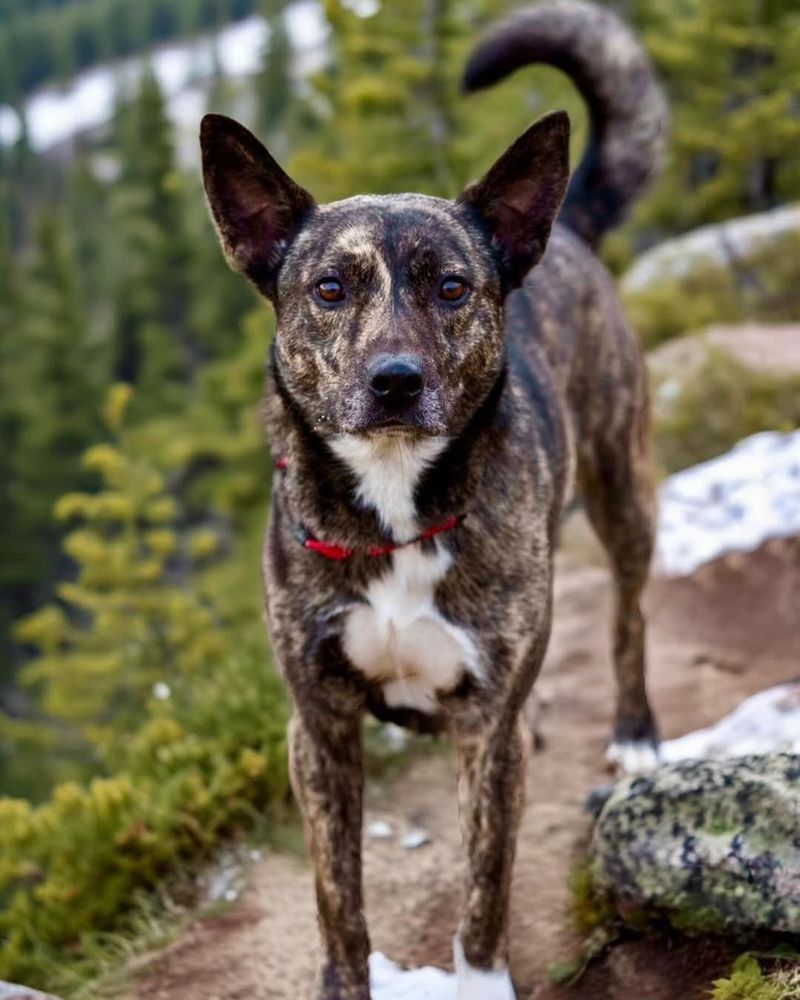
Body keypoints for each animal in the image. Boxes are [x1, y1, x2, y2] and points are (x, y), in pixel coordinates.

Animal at [200, 3, 668, 996]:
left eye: (452, 287)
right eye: (329, 289)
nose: (396, 381)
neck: (394, 513)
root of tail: (567, 230)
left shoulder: (486, 743)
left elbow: (485, 883)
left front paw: (480, 980)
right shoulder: (319, 730)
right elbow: (338, 898)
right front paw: (345, 983)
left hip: (624, 487)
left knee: (629, 612)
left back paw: (637, 731)